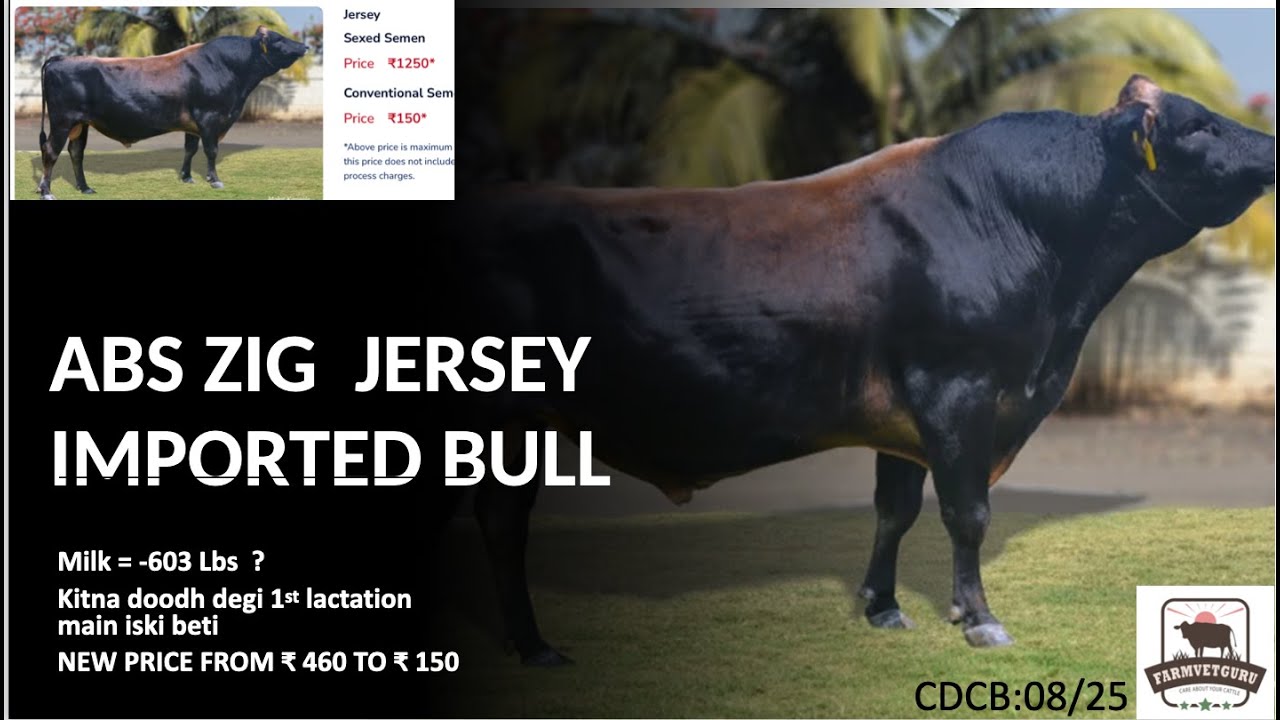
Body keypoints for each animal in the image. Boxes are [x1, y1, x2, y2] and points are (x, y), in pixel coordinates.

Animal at [36, 26, 308, 199]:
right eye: (278, 40)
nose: (304, 46)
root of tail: (60, 59)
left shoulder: (195, 124)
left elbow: (190, 149)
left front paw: (187, 177)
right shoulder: (210, 118)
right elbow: (211, 151)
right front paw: (214, 180)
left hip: (80, 124)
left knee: (76, 153)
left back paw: (84, 188)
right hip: (62, 121)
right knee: (51, 151)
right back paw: (47, 191)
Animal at [433, 75, 1275, 665]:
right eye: (1202, 125)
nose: (1269, 147)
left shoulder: (902, 415)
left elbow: (893, 510)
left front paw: (884, 608)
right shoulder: (958, 392)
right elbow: (967, 514)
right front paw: (981, 621)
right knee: (498, 523)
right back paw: (532, 646)